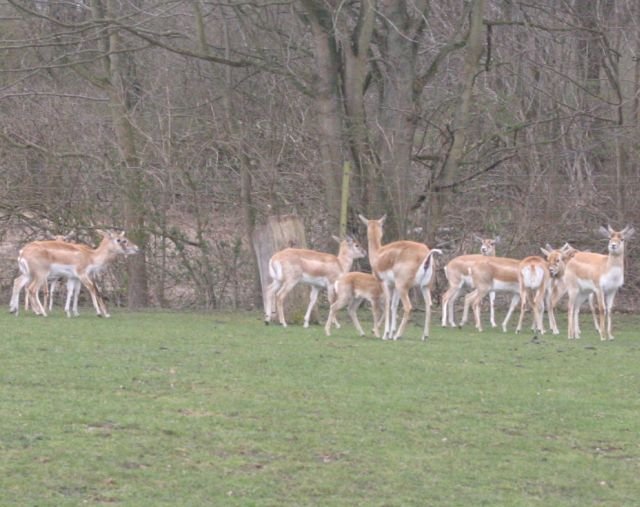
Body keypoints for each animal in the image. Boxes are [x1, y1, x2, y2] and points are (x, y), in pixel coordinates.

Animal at [8, 230, 139, 318]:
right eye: (120, 240)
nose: (137, 248)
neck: (91, 257)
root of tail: (22, 252)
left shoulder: (74, 278)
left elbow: (73, 292)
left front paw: (71, 312)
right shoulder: (83, 274)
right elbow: (91, 289)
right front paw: (99, 313)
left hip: (27, 274)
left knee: (17, 282)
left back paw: (14, 311)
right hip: (41, 274)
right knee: (32, 289)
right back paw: (42, 313)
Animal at [358, 214, 442, 342]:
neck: (378, 254)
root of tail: (426, 254)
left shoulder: (384, 283)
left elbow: (387, 304)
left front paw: (385, 334)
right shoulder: (394, 286)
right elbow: (394, 306)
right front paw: (390, 332)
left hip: (403, 287)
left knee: (408, 307)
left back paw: (398, 335)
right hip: (425, 287)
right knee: (429, 306)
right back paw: (424, 336)